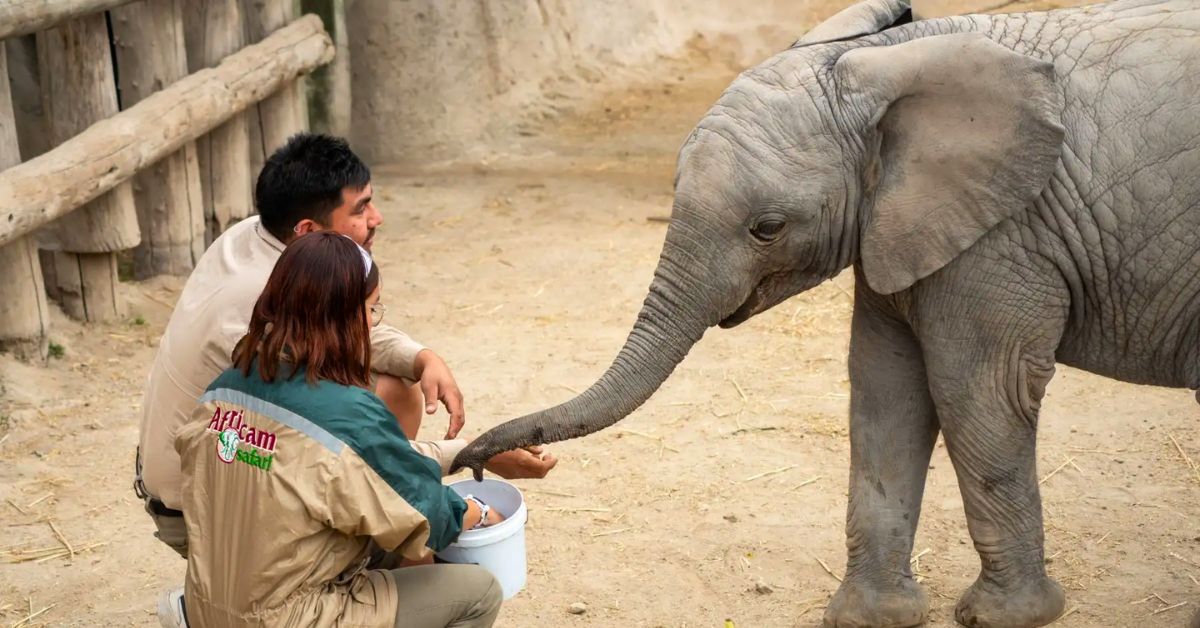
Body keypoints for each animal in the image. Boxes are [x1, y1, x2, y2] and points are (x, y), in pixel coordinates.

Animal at [453, 1, 1200, 626]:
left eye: (767, 228)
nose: (474, 462)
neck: (884, 58)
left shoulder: (1005, 235)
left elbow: (979, 394)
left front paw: (1002, 618)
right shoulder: (905, 226)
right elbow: (885, 391)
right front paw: (872, 618)